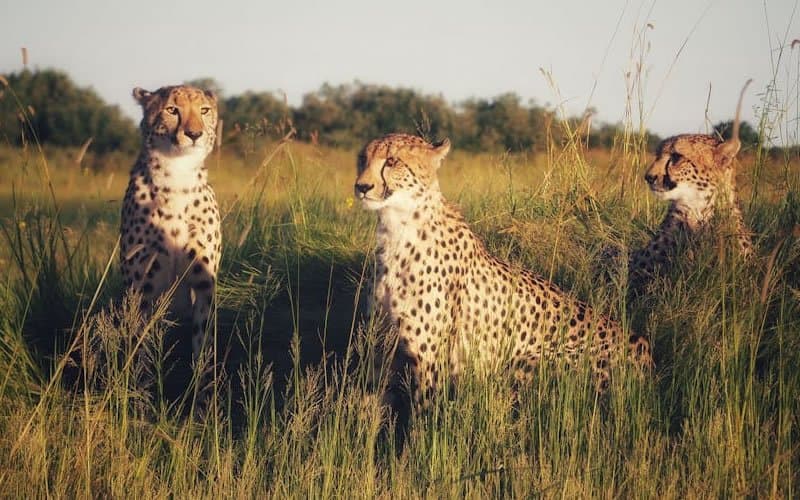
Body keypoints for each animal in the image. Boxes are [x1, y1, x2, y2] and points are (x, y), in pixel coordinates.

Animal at [120, 85, 221, 361]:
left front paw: (203, 374)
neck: (177, 174)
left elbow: (202, 342)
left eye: (204, 110)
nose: (194, 133)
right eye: (172, 110)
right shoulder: (141, 289)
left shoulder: (204, 285)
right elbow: (138, 349)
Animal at [355, 133, 653, 415]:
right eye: (362, 159)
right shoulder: (379, 349)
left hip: (525, 363)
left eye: (392, 161)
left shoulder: (430, 364)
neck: (397, 228)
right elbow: (368, 409)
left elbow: (421, 420)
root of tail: (641, 343)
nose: (361, 187)